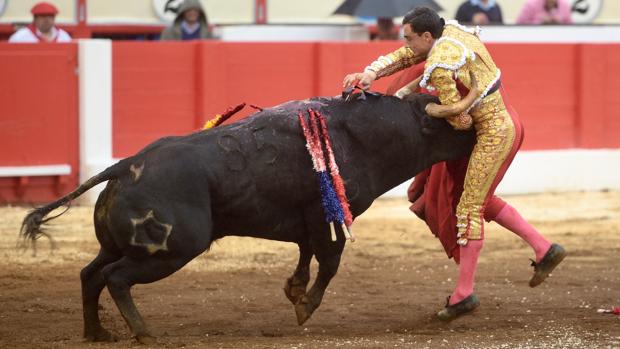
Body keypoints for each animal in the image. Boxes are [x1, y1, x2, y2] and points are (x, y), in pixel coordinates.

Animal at [20, 92, 474, 340]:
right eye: (457, 125)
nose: (480, 132)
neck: (367, 135)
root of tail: (125, 165)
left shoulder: (304, 222)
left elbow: (306, 257)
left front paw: (294, 290)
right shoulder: (326, 222)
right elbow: (329, 264)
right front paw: (304, 307)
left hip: (117, 246)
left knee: (90, 274)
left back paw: (97, 332)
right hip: (172, 250)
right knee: (115, 278)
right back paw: (143, 332)